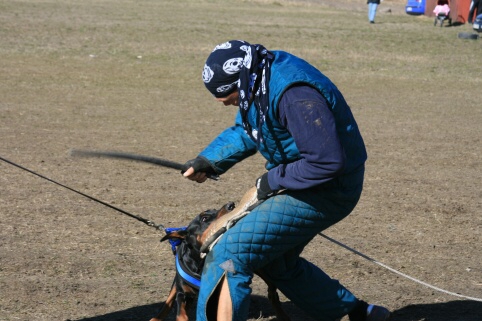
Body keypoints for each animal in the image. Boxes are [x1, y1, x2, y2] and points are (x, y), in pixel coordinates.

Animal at [149, 201, 290, 320]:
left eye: (214, 209)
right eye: (204, 218)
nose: (231, 204)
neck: (202, 263)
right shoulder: (183, 294)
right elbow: (181, 313)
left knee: (272, 290)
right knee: (169, 299)